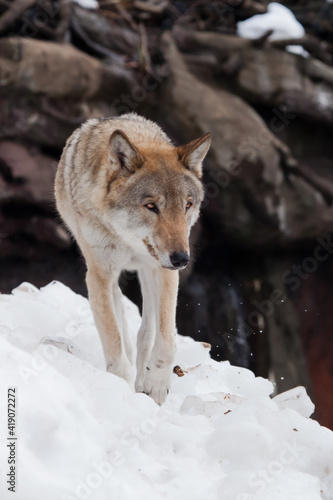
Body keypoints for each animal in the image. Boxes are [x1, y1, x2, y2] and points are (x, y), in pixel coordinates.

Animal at [54, 113, 210, 406]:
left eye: (187, 205)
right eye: (151, 206)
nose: (182, 259)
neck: (128, 239)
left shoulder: (165, 271)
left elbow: (166, 341)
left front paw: (156, 386)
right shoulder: (99, 275)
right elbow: (115, 344)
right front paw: (120, 393)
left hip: (149, 271)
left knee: (145, 334)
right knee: (122, 324)